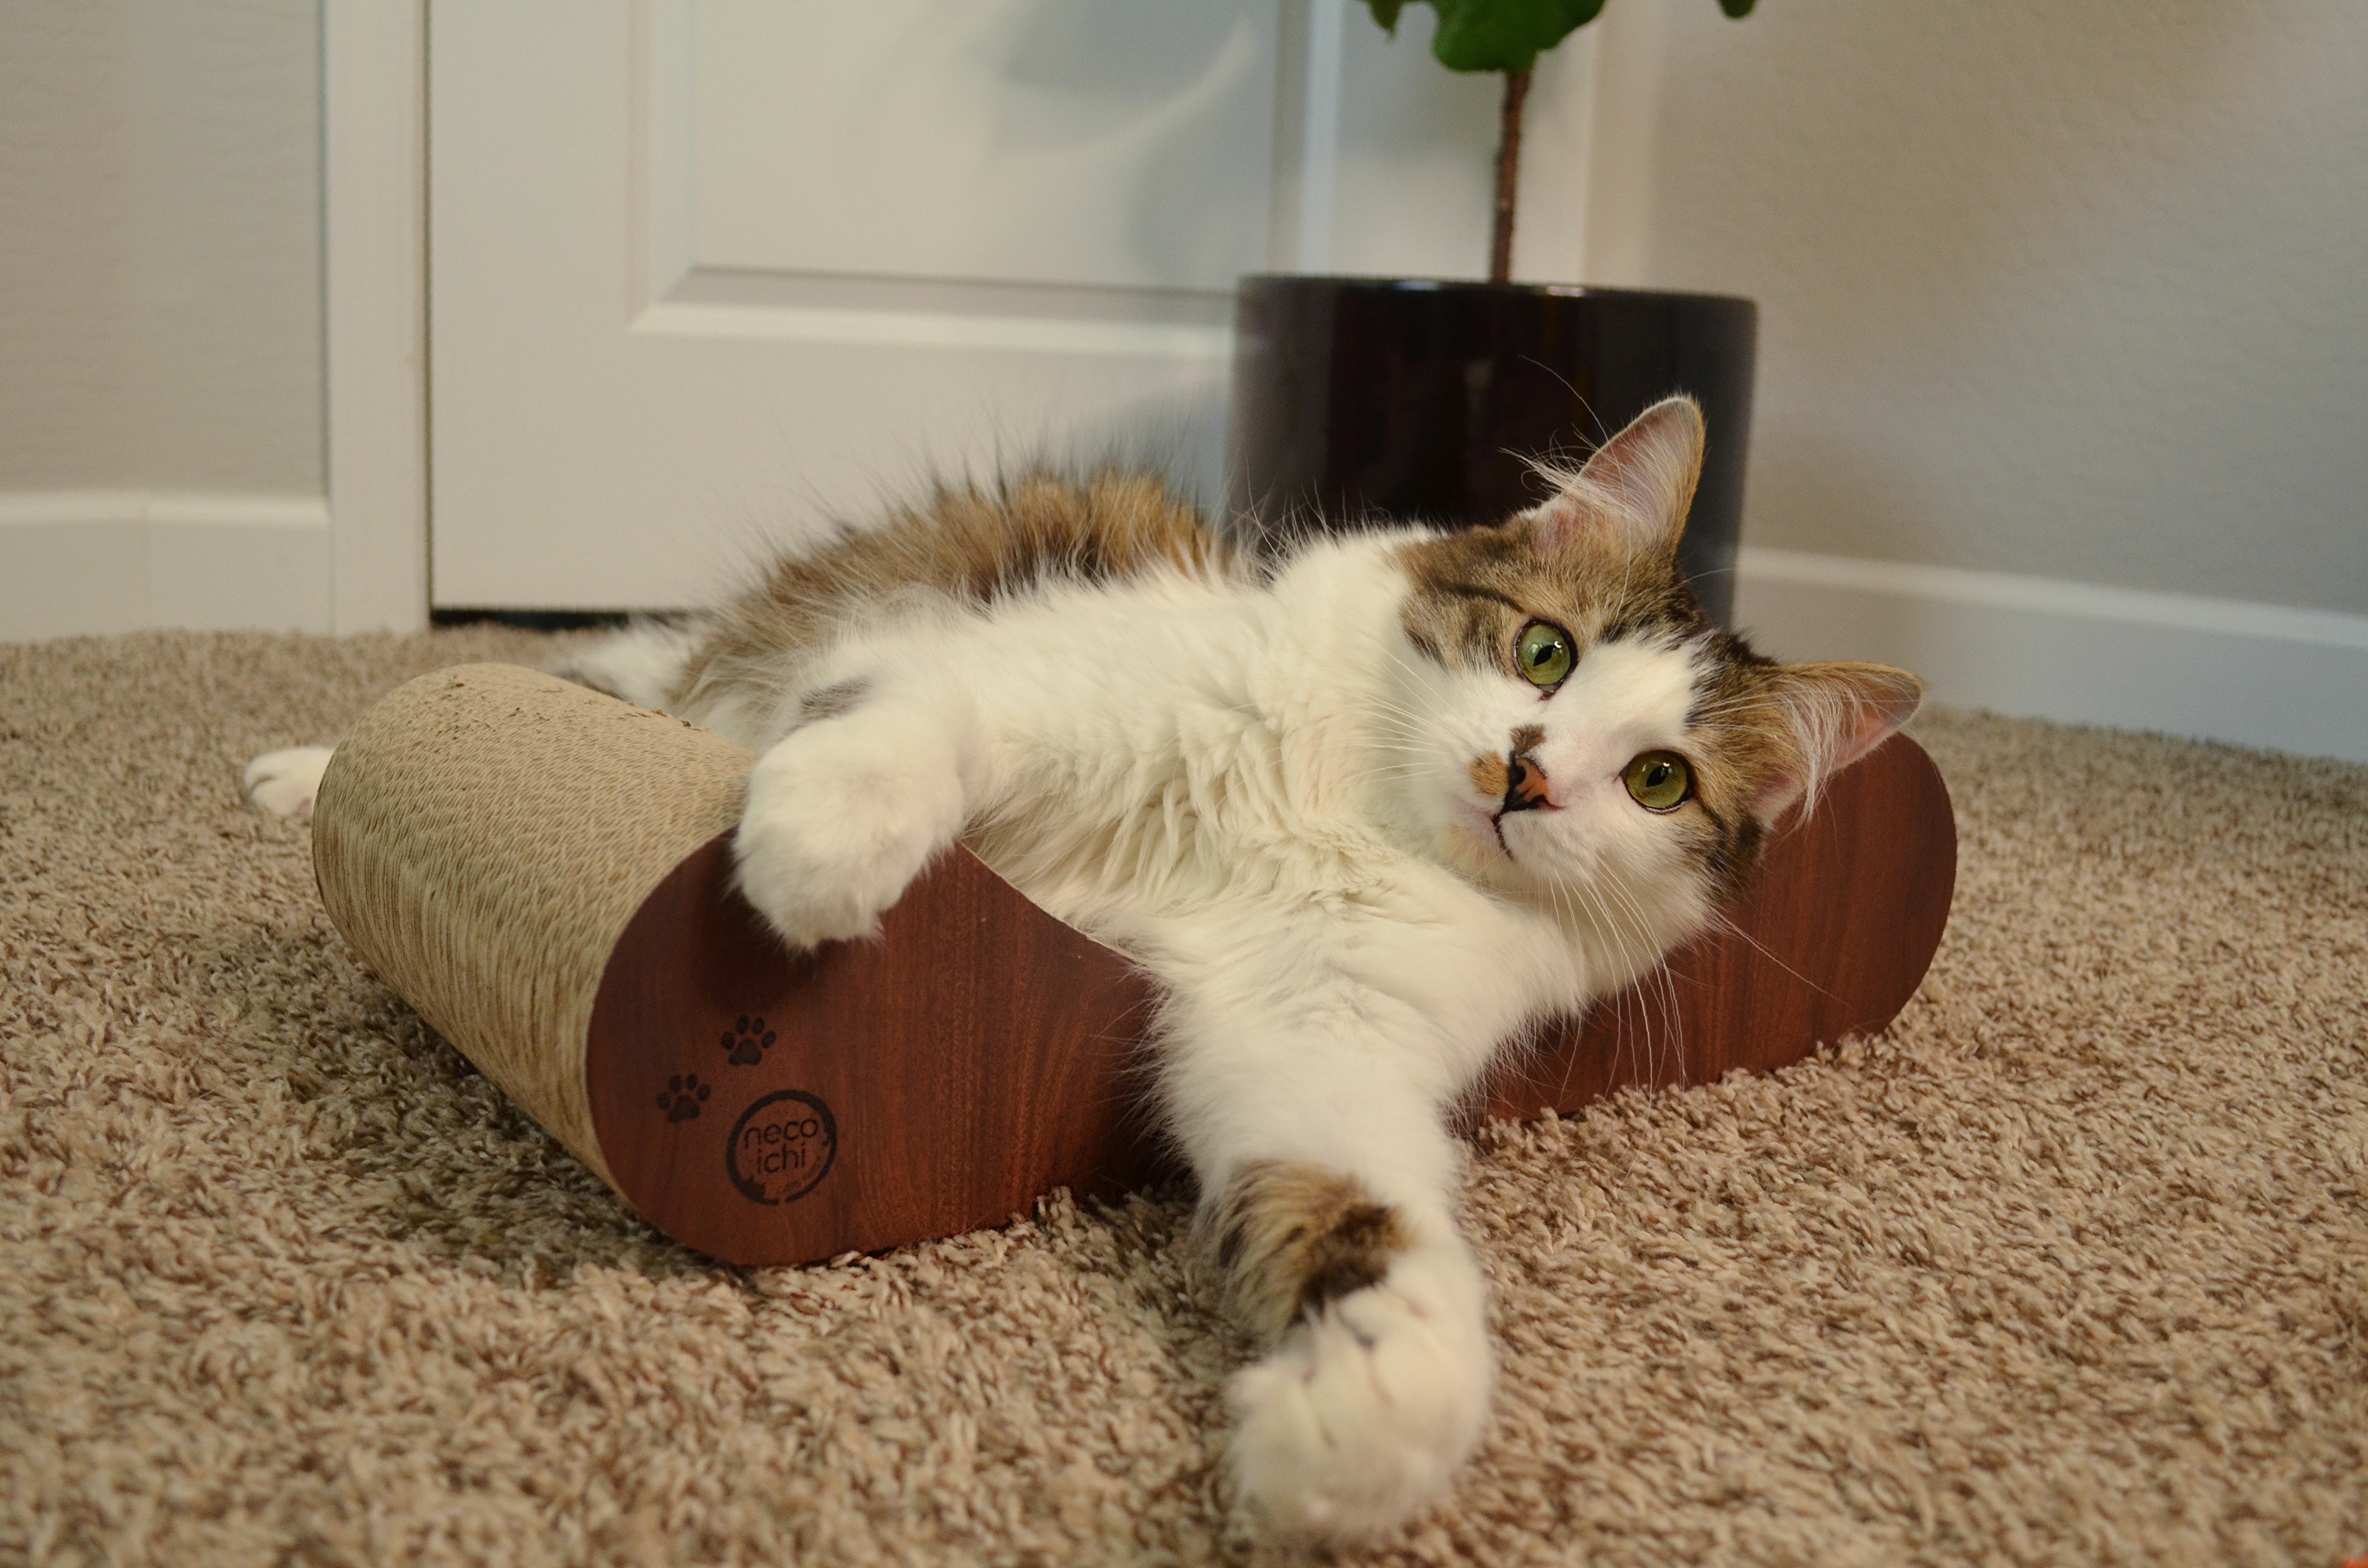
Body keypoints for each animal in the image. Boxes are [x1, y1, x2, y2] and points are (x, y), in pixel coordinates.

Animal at [245, 400, 1922, 1544]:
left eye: (1655, 781)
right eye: (1545, 653)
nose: (1526, 775)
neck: (1343, 812)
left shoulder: (1316, 1039)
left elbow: (1381, 1230)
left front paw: (1362, 1419)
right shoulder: (1018, 681)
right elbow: (912, 731)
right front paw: (815, 855)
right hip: (722, 655)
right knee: (596, 671)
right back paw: (299, 773)